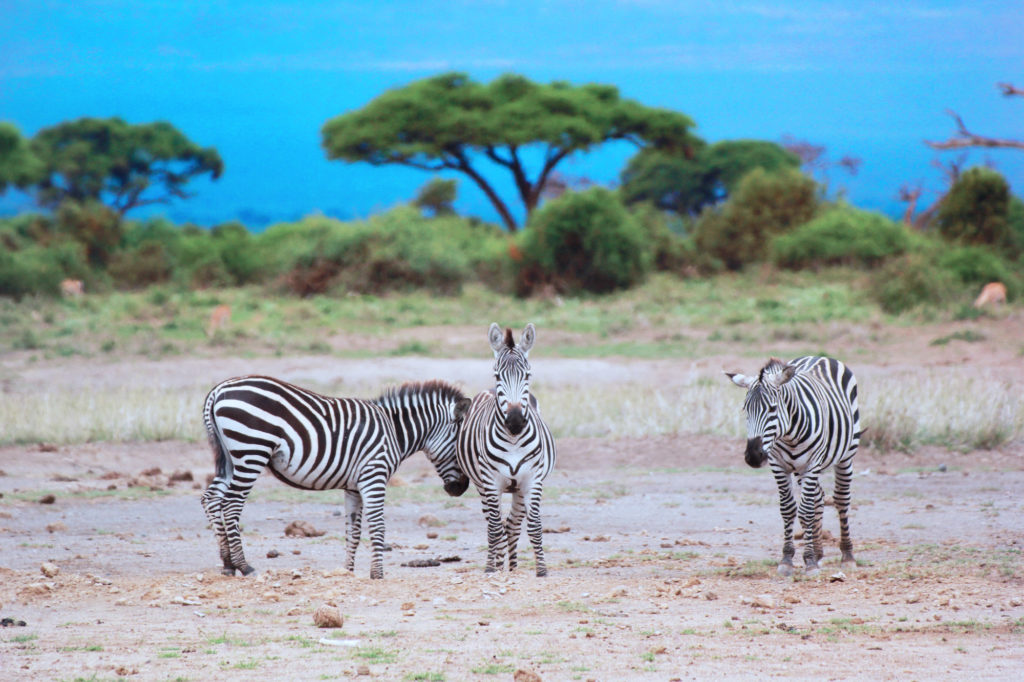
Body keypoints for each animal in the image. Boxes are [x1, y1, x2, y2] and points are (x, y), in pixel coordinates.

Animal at [199, 374, 471, 577]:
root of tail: (218, 390)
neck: (394, 431)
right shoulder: (374, 476)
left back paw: (227, 564)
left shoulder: (354, 486)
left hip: (231, 458)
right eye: (459, 445)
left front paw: (348, 571)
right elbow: (378, 526)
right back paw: (244, 566)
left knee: (211, 499)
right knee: (231, 505)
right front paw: (377, 574)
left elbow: (353, 531)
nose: (461, 488)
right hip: (251, 451)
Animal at [456, 323, 557, 573]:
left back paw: (511, 568)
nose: (515, 421)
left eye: (528, 375)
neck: (513, 441)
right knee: (494, 526)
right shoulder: (491, 482)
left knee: (511, 525)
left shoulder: (532, 479)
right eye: (498, 375)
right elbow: (494, 528)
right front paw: (492, 569)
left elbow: (534, 526)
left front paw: (541, 570)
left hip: (519, 488)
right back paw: (497, 565)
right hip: (482, 485)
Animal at [724, 356, 860, 573]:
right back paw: (819, 551)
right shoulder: (778, 465)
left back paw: (847, 555)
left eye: (772, 409)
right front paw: (788, 559)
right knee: (818, 498)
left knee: (841, 499)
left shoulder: (812, 463)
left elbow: (805, 510)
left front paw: (809, 561)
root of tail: (819, 357)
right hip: (800, 469)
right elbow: (788, 509)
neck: (789, 435)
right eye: (745, 410)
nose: (753, 457)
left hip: (846, 455)